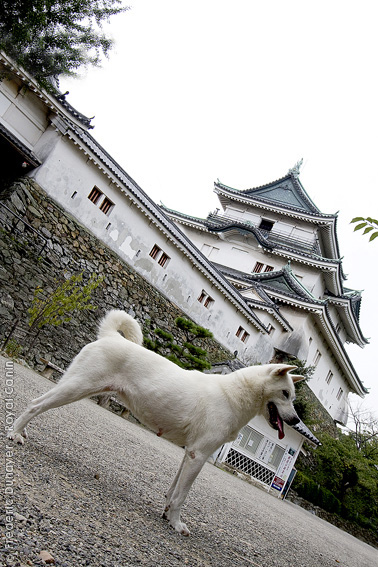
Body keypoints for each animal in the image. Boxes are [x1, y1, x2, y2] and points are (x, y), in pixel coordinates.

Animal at [8, 310, 302, 536]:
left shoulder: (189, 454)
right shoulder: (198, 456)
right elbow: (182, 496)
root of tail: (111, 337)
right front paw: (176, 524)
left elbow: (172, 492)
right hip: (75, 388)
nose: (296, 419)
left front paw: (166, 514)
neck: (236, 394)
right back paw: (16, 434)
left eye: (293, 396)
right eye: (285, 394)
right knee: (35, 404)